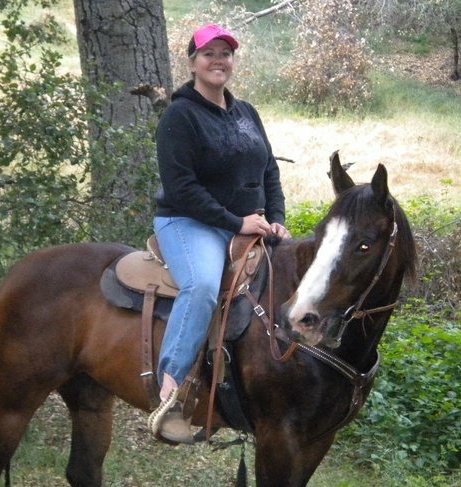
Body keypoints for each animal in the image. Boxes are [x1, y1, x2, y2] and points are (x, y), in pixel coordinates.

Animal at [0, 153, 416, 487]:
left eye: (365, 244)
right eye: (320, 236)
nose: (300, 318)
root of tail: (15, 275)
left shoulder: (317, 440)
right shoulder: (278, 438)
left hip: (90, 397)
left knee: (83, 471)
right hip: (14, 404)